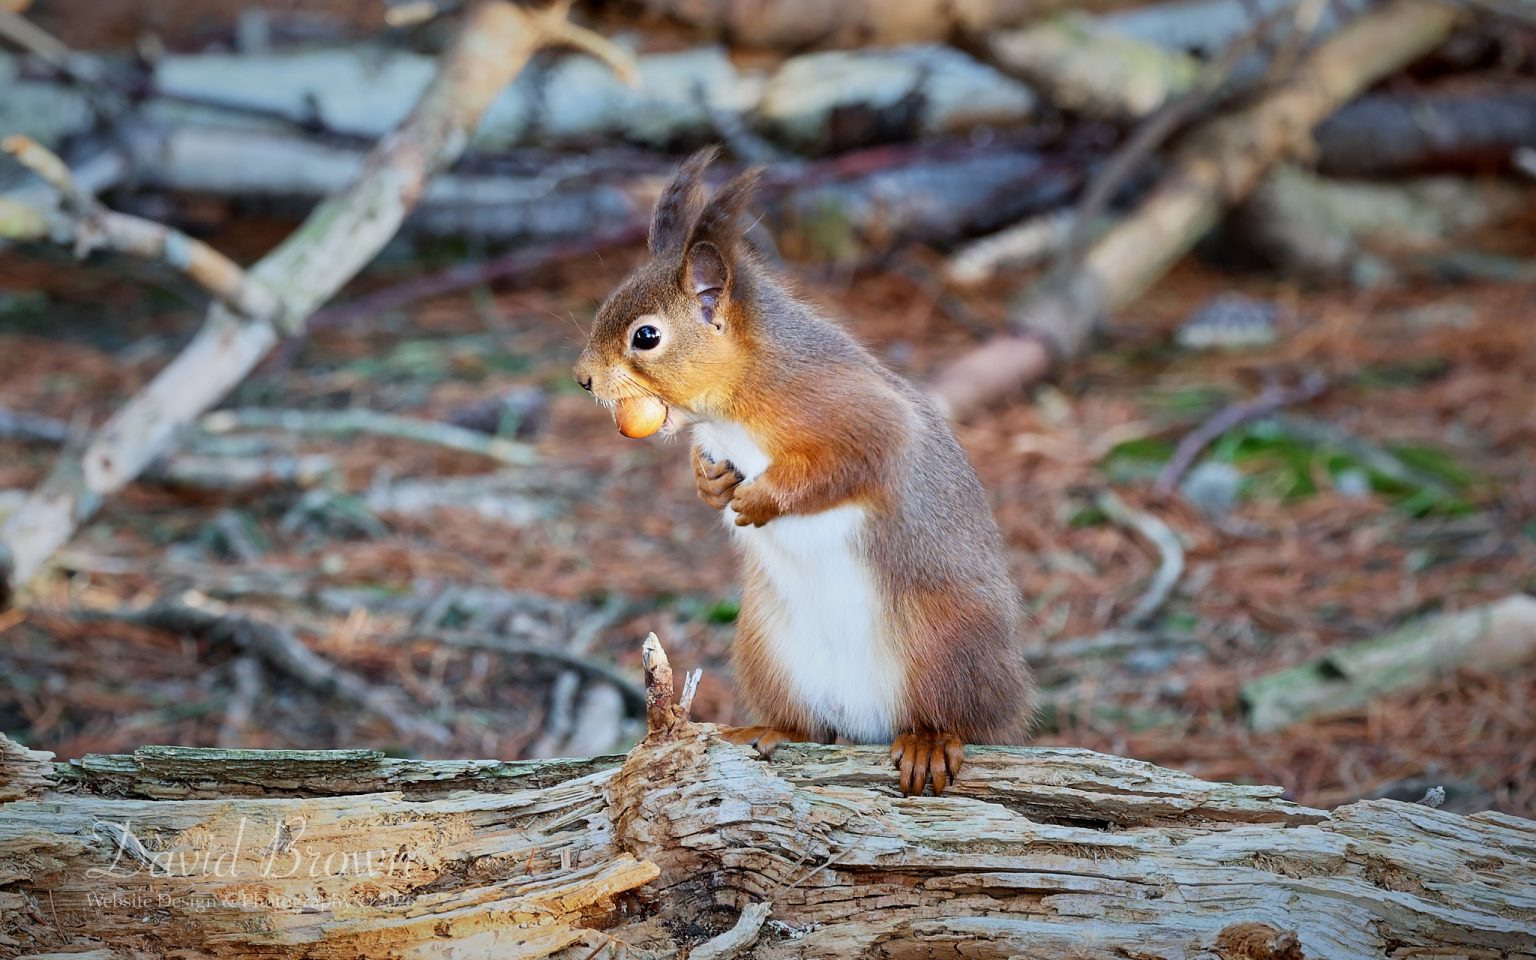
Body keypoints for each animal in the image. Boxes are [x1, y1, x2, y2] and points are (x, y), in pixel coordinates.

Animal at [573, 148, 1035, 795]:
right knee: (809, 725)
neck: (733, 402)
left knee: (958, 714)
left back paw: (930, 738)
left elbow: (847, 463)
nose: (583, 378)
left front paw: (761, 500)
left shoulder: (849, 412)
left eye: (647, 336)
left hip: (943, 641)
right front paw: (712, 484)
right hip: (767, 648)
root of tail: (865, 719)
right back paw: (774, 729)